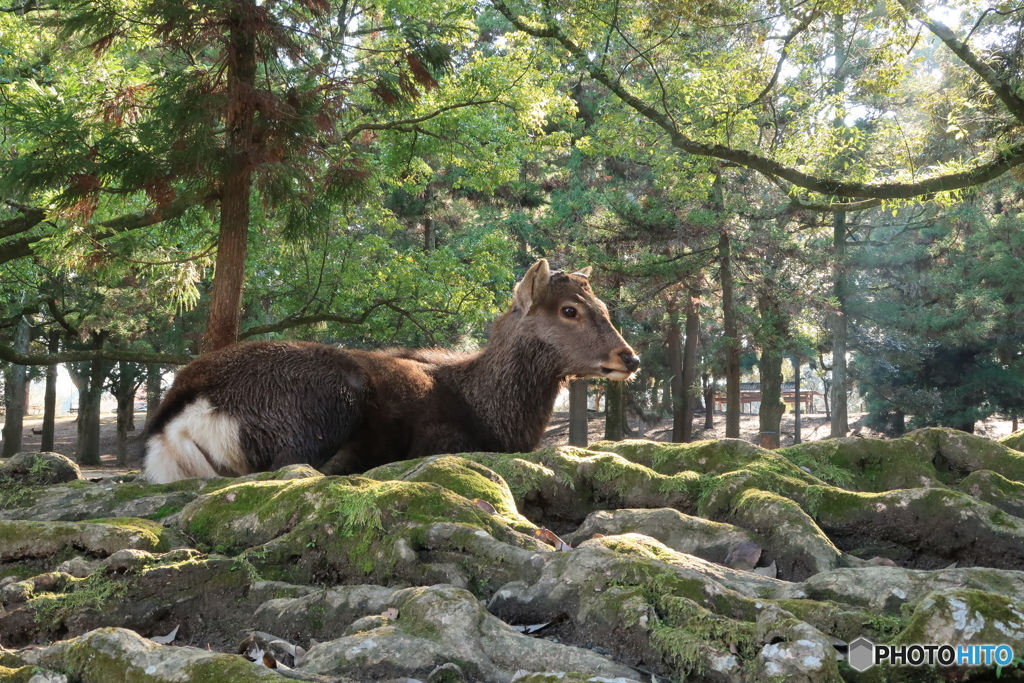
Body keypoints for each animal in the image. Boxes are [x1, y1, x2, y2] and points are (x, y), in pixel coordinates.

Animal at [142, 259, 638, 483]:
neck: (498, 415)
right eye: (570, 310)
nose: (630, 358)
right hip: (321, 409)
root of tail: (176, 415)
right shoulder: (446, 442)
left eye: (603, 303)